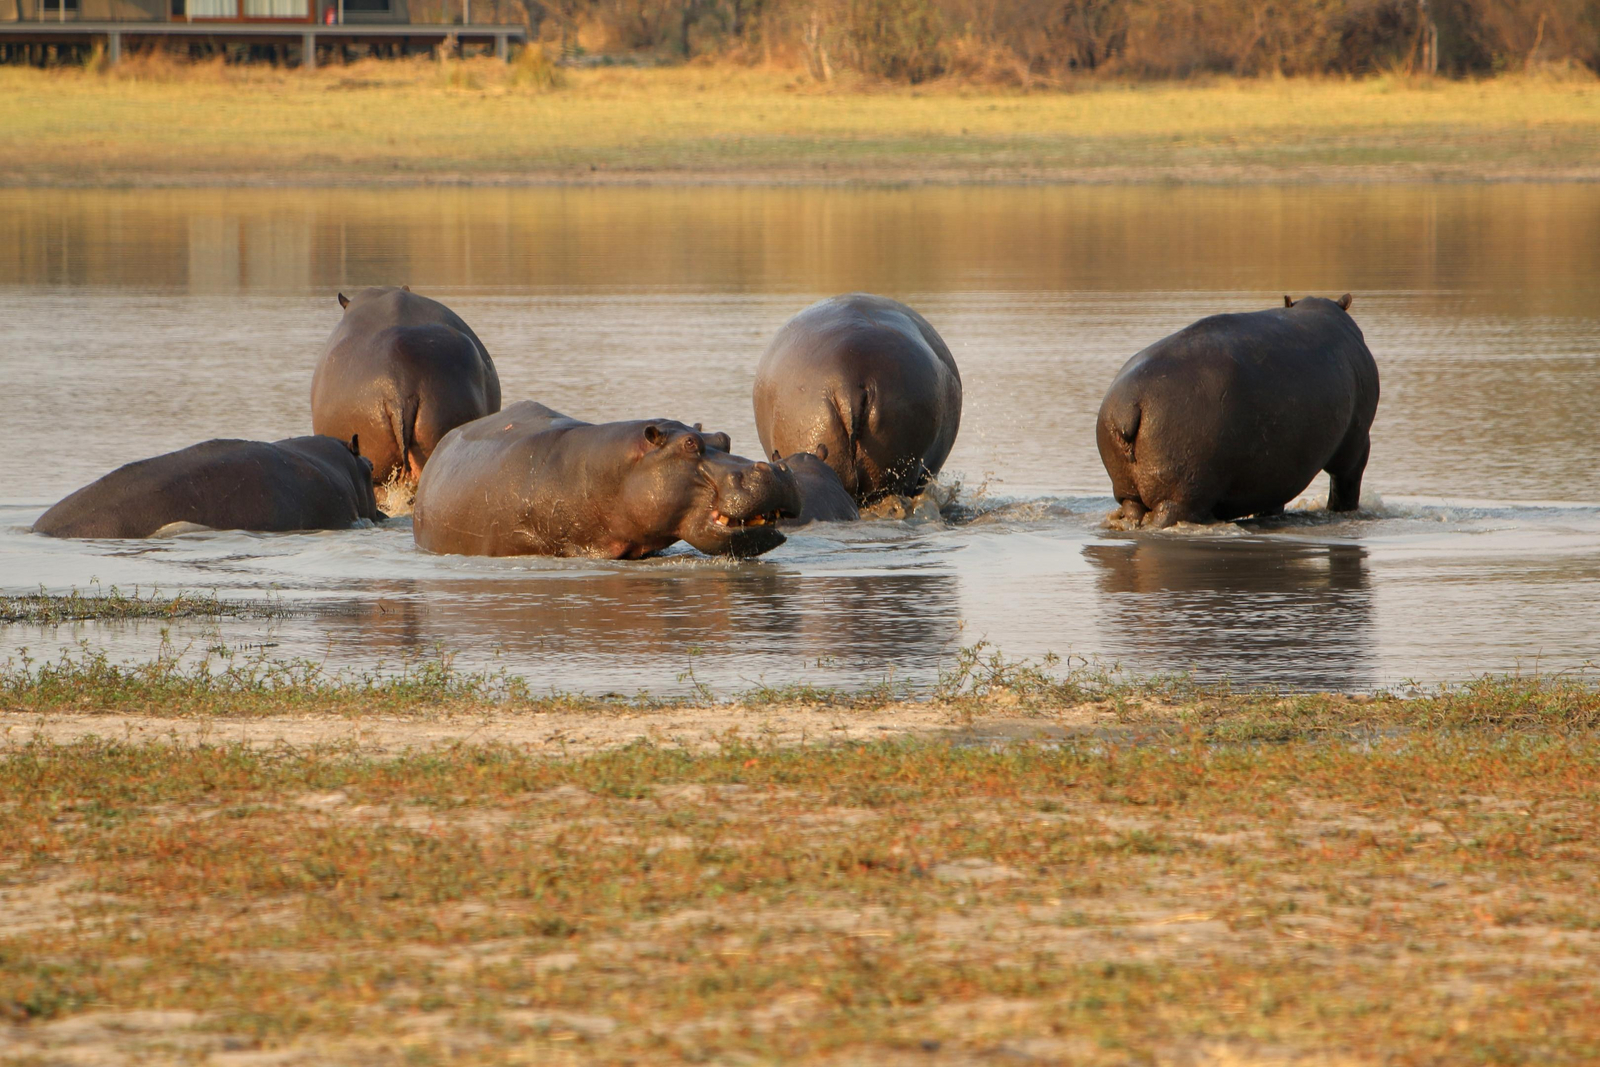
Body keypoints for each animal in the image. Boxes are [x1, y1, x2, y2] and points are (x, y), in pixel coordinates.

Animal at [1096, 294, 1380, 528]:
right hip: (1181, 494)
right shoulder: (1357, 442)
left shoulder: (1275, 471)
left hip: (1130, 490)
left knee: (1133, 510)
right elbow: (1345, 483)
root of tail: (1129, 404)